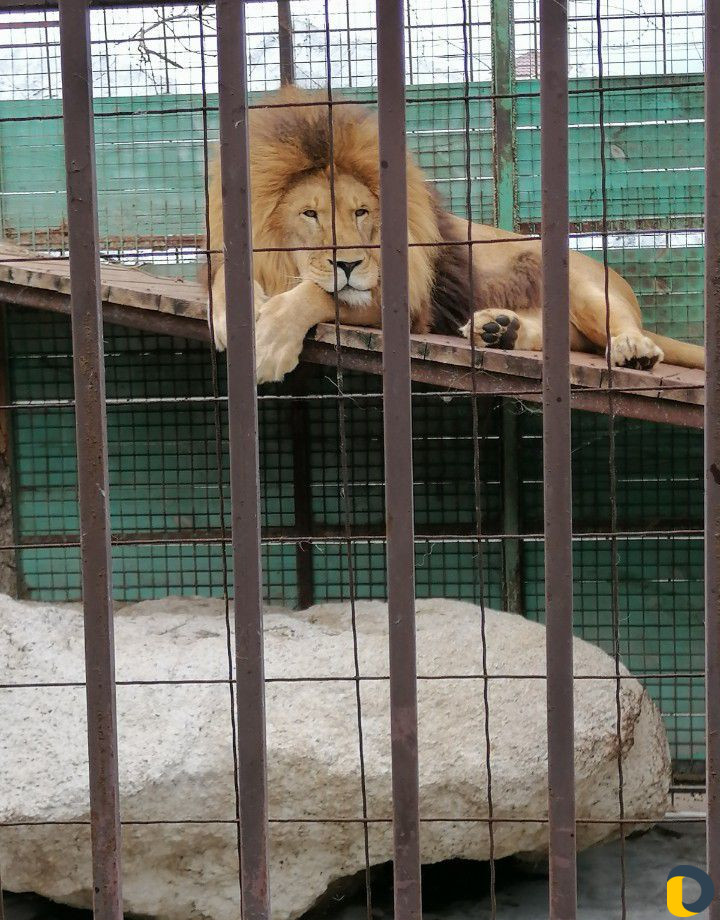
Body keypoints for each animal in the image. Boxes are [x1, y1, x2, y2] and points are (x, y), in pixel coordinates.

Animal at [206, 86, 704, 383]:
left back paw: (633, 349)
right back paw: (497, 329)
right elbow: (223, 281)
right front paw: (231, 315)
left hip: (586, 286)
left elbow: (318, 294)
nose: (347, 263)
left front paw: (269, 342)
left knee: (618, 330)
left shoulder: (407, 303)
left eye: (362, 212)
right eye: (309, 214)